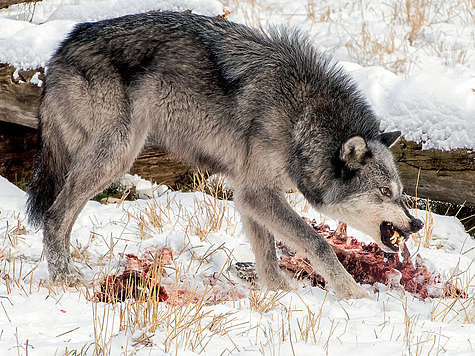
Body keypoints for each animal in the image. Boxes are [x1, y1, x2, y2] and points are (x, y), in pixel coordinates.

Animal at [27, 11, 424, 298]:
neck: (302, 120)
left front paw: (279, 295)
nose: (418, 223)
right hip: (115, 156)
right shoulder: (257, 193)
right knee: (54, 215)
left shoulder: (250, 195)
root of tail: (63, 47)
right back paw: (64, 278)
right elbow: (318, 244)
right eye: (384, 192)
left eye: (401, 193)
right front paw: (353, 294)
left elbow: (267, 255)